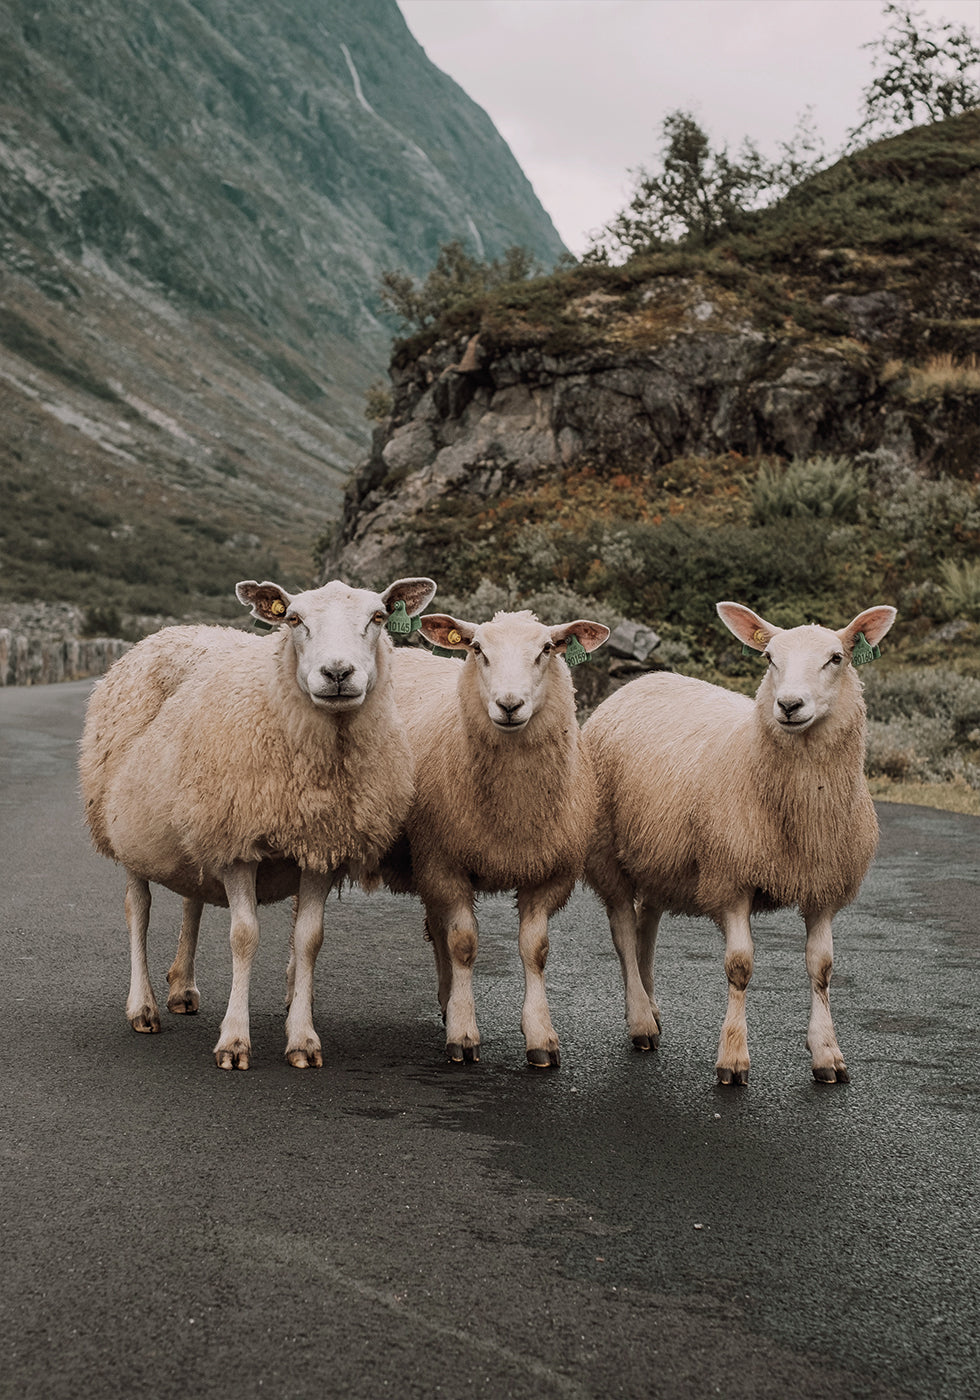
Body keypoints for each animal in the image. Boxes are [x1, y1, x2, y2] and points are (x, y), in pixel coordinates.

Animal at [78, 574, 439, 1064]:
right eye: (294, 619)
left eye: (379, 617)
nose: (338, 674)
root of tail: (174, 631)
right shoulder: (239, 844)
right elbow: (244, 936)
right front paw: (234, 1041)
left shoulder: (319, 846)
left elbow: (309, 938)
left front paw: (303, 1039)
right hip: (125, 826)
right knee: (139, 909)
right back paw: (143, 1007)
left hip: (197, 819)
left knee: (191, 899)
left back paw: (182, 987)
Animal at [386, 607, 607, 1064]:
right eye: (477, 649)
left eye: (546, 649)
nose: (509, 705)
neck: (513, 810)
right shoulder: (445, 864)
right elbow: (463, 944)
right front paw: (463, 1034)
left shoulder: (550, 874)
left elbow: (535, 951)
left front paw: (541, 1036)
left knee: (435, 928)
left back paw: (446, 1000)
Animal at [582, 599, 896, 1080]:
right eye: (769, 658)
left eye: (836, 658)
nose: (789, 704)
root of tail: (644, 679)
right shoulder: (732, 879)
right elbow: (740, 967)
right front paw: (732, 1058)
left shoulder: (822, 886)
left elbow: (822, 968)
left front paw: (827, 1054)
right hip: (607, 853)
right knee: (622, 931)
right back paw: (640, 1021)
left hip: (660, 855)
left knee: (645, 926)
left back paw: (652, 1008)